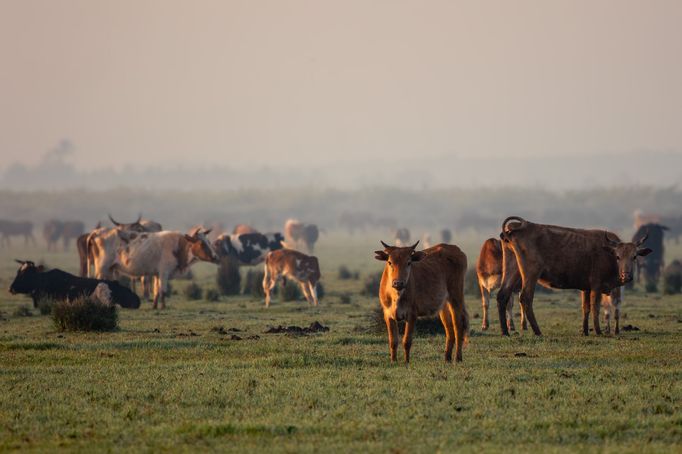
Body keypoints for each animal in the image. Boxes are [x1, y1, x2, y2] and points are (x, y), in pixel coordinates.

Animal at [494, 216, 648, 336]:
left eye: (634, 256)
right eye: (618, 256)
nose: (626, 276)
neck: (606, 252)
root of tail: (514, 228)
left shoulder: (586, 288)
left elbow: (586, 308)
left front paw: (585, 331)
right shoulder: (596, 286)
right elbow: (595, 307)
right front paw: (598, 331)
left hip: (512, 269)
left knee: (502, 294)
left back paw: (505, 332)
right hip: (531, 273)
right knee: (525, 297)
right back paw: (537, 331)